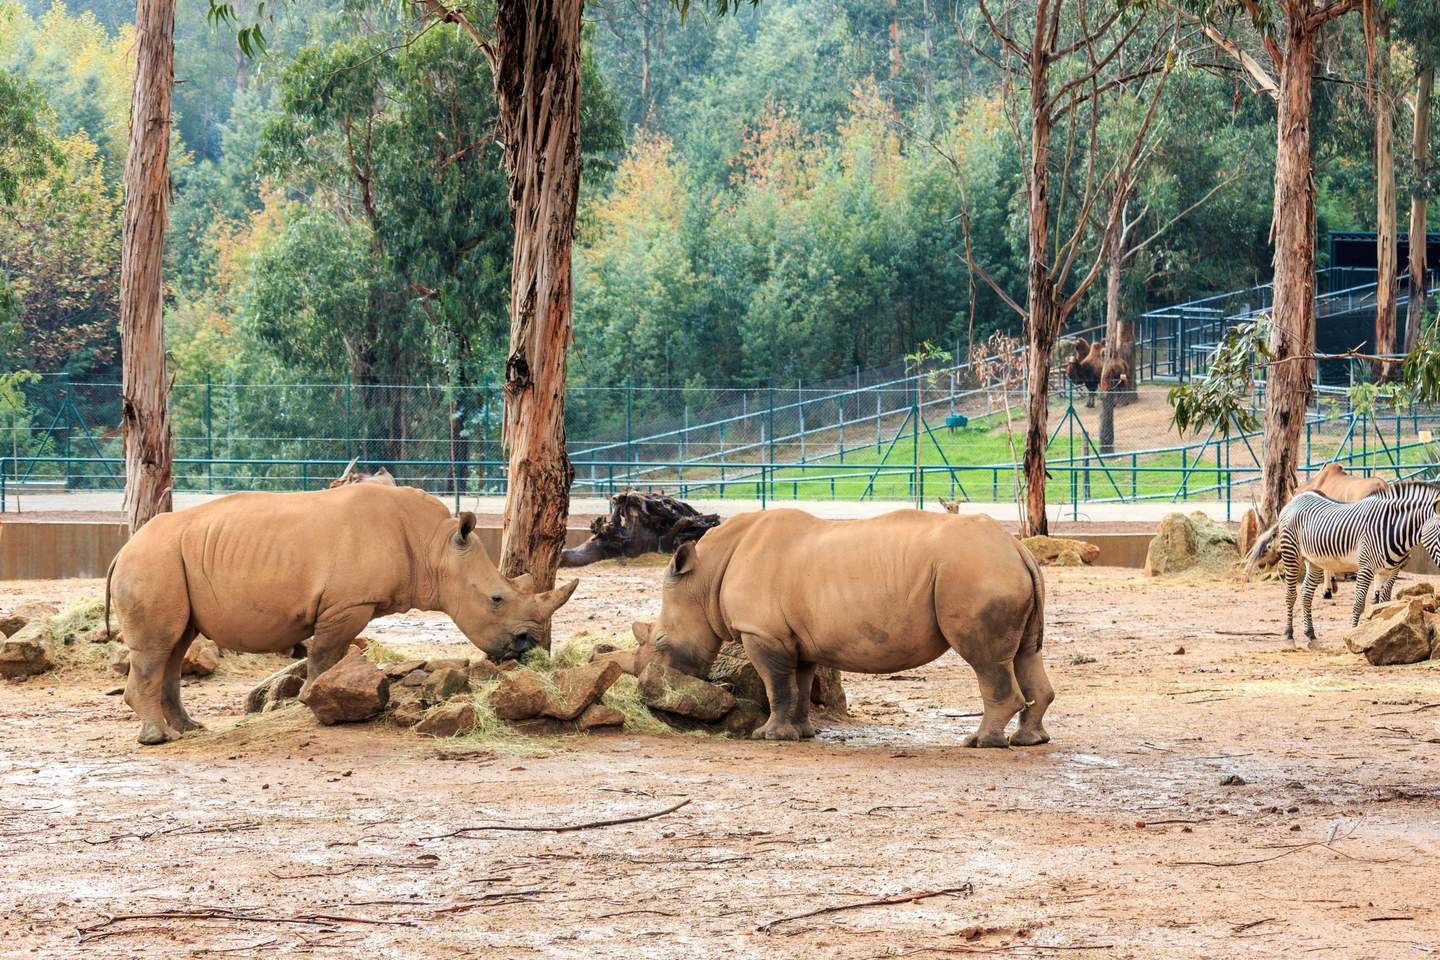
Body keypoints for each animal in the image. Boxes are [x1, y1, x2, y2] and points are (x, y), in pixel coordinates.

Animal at [105, 483, 578, 744]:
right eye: (497, 599)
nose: (527, 644)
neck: (434, 547)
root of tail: (123, 549)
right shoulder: (347, 604)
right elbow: (324, 656)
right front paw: (311, 704)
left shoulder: (348, 604)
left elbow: (325, 657)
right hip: (154, 562)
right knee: (158, 646)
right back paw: (157, 739)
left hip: (167, 561)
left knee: (176, 643)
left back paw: (190, 730)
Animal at [631, 508, 1053, 746]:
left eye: (661, 639)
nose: (648, 692)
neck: (705, 576)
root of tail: (1018, 548)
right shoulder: (795, 637)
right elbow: (799, 685)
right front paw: (803, 734)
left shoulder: (763, 633)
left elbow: (776, 684)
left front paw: (769, 736)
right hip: (995, 570)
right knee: (1025, 654)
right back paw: (1029, 741)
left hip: (975, 572)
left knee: (986, 662)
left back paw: (981, 742)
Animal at [1244, 481, 1440, 647]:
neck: (1392, 528)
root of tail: (1295, 500)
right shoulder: (1366, 567)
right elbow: (1359, 603)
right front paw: (1353, 635)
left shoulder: (1390, 571)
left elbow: (1384, 604)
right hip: (1291, 553)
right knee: (1291, 594)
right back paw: (1289, 635)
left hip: (1314, 561)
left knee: (1306, 593)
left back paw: (1311, 635)